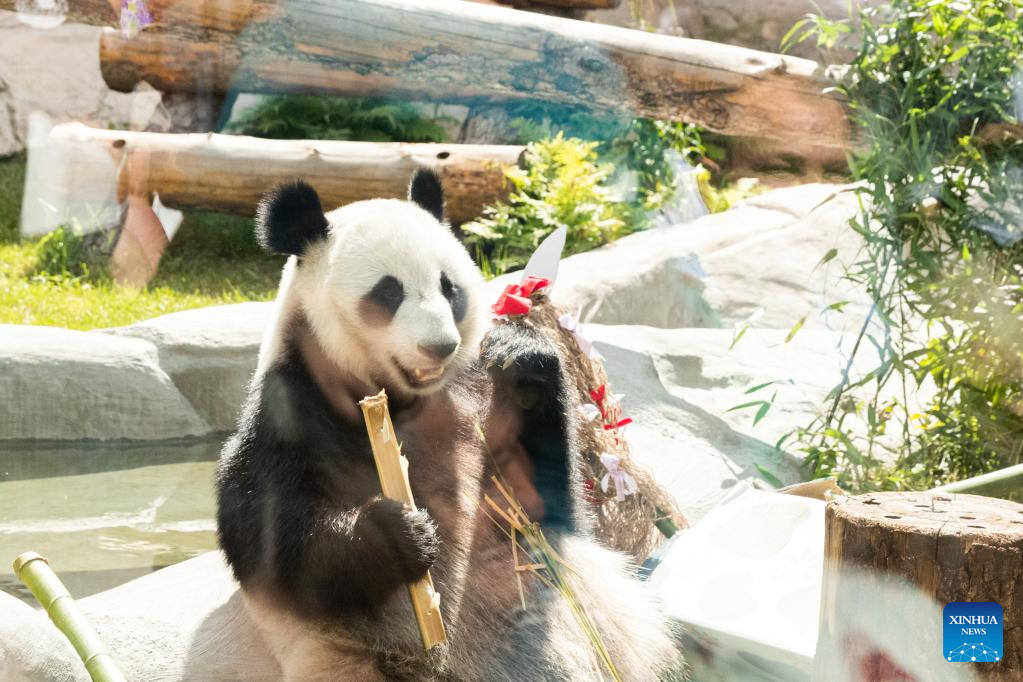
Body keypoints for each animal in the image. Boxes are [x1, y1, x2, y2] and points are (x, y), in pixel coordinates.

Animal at [214, 171, 679, 682]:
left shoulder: (474, 400)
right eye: (388, 291)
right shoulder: (292, 411)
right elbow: (278, 551)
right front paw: (399, 534)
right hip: (361, 661)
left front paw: (522, 354)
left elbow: (548, 510)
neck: (401, 404)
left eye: (449, 287)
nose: (439, 346)